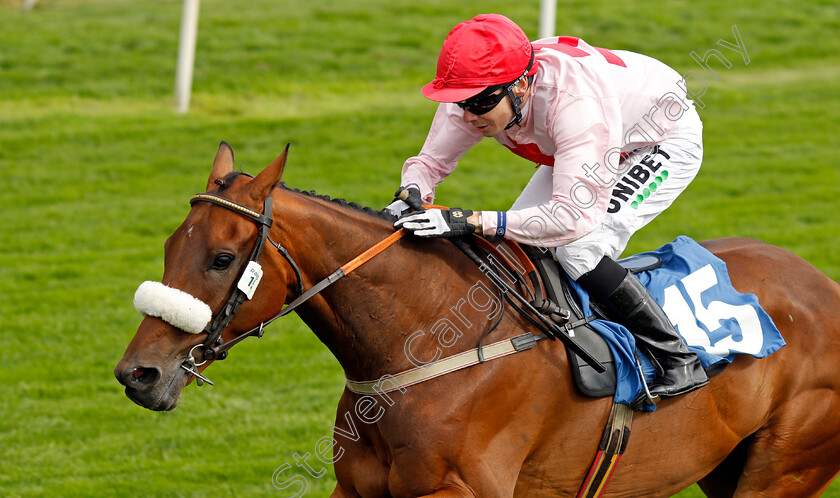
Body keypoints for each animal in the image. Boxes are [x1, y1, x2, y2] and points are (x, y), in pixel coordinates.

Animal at [116, 142, 840, 496]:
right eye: (170, 247)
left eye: (221, 257)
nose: (138, 374)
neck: (426, 347)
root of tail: (824, 285)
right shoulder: (361, 492)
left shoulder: (461, 491)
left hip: (783, 469)